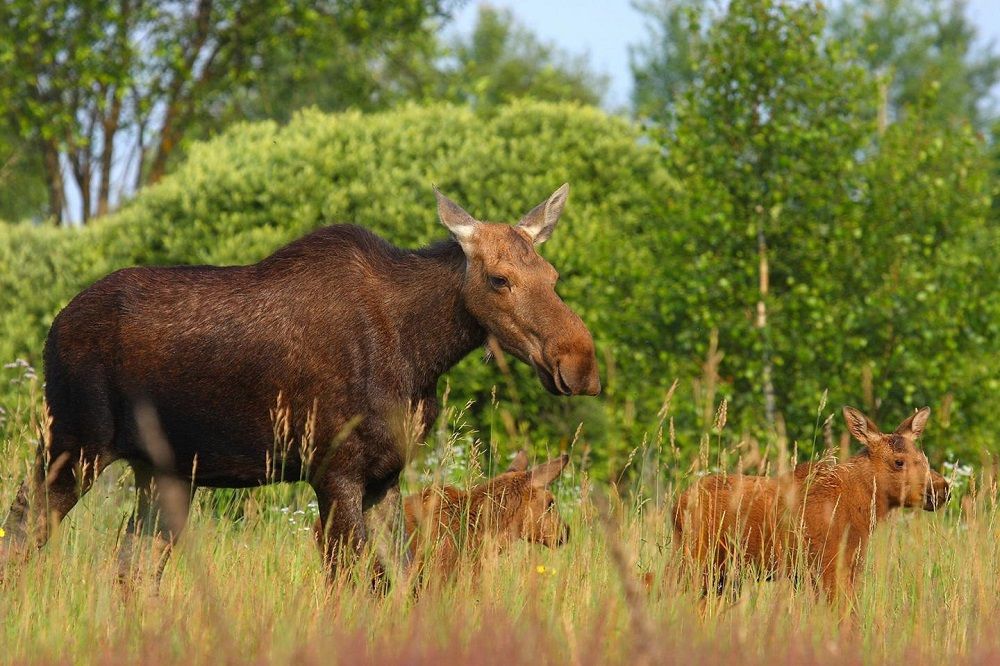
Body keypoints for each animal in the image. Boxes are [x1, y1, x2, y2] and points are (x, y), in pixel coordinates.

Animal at [0, 183, 596, 588]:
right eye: (499, 279)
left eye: (553, 276)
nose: (580, 362)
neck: (421, 354)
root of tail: (54, 327)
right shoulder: (334, 471)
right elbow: (360, 583)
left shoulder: (384, 477)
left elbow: (403, 581)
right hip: (73, 444)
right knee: (24, 531)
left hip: (161, 470)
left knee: (131, 568)